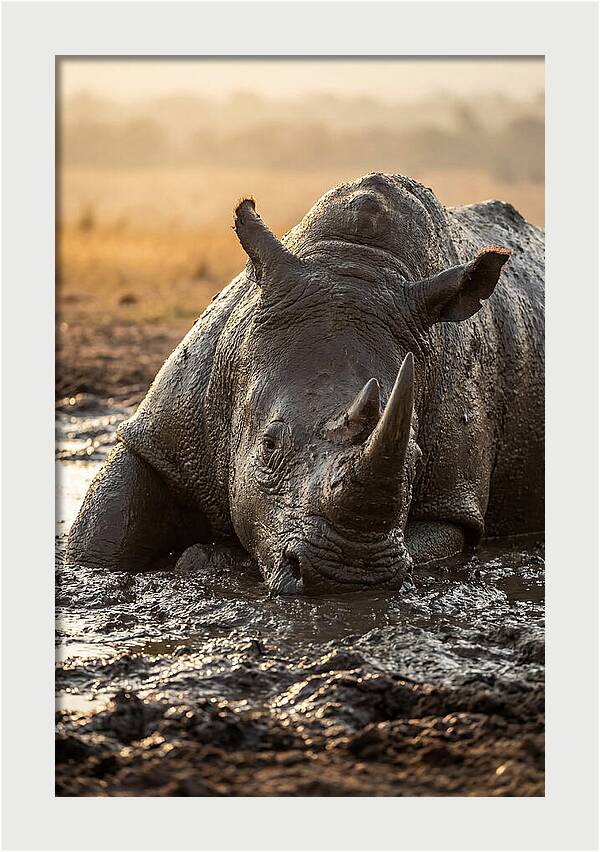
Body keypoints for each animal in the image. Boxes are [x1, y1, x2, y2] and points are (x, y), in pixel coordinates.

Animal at [66, 173, 544, 595]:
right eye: (268, 446)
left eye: (415, 458)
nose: (348, 576)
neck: (356, 264)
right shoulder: (161, 433)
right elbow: (102, 536)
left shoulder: (452, 501)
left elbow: (433, 539)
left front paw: (208, 559)